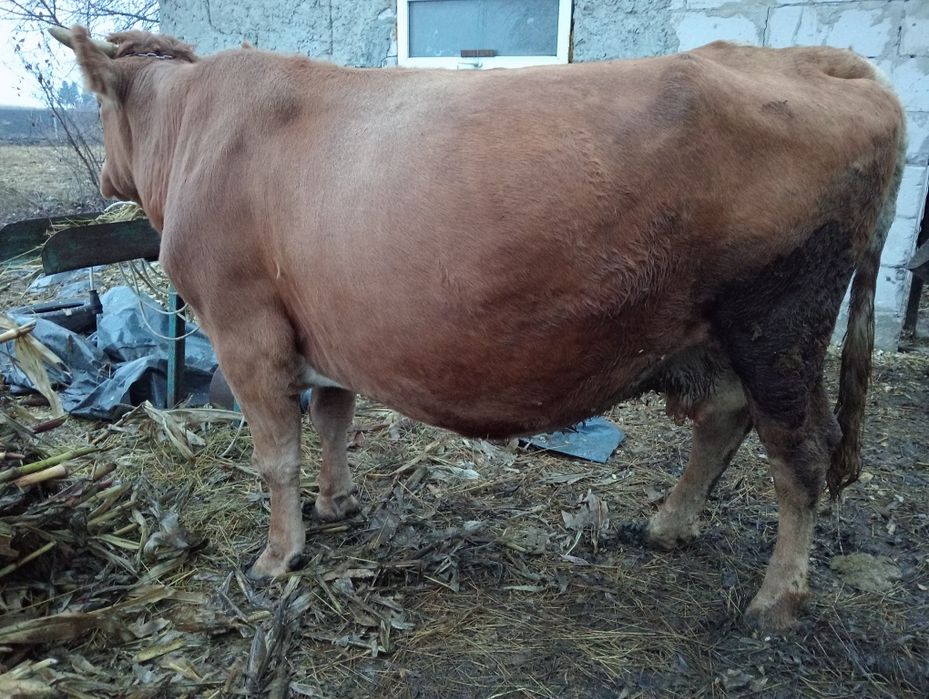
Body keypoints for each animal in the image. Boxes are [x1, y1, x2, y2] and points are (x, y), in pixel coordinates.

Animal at [50, 25, 905, 631]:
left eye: (97, 106)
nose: (106, 175)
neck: (196, 129)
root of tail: (823, 63)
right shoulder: (322, 329)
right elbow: (334, 419)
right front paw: (338, 506)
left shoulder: (244, 328)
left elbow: (276, 457)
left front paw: (277, 555)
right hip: (721, 331)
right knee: (725, 420)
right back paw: (669, 523)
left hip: (779, 324)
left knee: (799, 456)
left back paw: (776, 600)